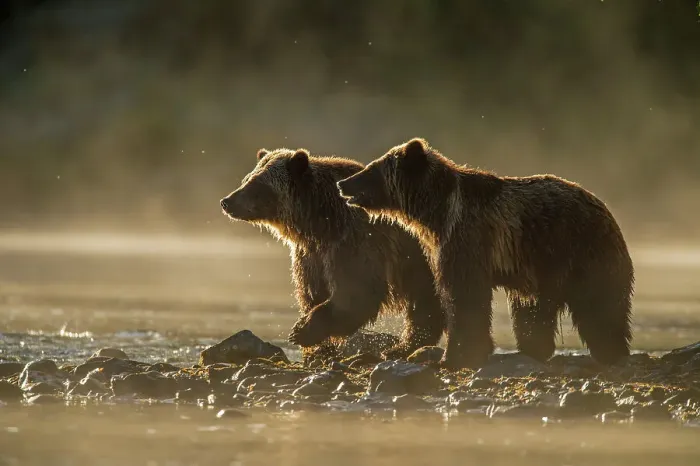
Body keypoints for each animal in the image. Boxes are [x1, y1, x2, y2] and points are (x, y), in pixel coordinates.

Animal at [220, 147, 445, 361]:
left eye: (257, 184)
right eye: (246, 179)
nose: (227, 201)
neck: (322, 222)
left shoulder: (357, 240)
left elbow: (356, 291)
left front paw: (303, 330)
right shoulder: (311, 254)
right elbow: (313, 292)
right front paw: (317, 348)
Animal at [336, 137, 635, 370]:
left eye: (372, 169)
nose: (343, 183)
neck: (436, 212)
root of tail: (606, 211)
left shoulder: (467, 237)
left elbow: (464, 296)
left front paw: (455, 356)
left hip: (579, 250)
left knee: (599, 304)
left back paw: (610, 350)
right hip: (543, 269)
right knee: (533, 310)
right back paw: (533, 348)